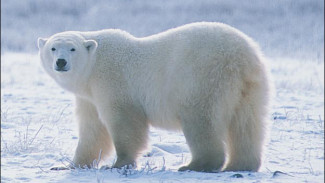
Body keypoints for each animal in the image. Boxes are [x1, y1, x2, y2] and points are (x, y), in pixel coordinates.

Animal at [37, 22, 270, 172]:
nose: (60, 62)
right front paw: (68, 164)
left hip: (202, 78)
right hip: (251, 87)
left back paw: (195, 165)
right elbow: (92, 129)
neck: (94, 65)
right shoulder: (89, 97)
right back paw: (241, 164)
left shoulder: (112, 81)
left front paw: (119, 163)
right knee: (246, 124)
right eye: (53, 48)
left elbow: (125, 122)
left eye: (72, 49)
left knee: (201, 119)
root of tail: (241, 57)